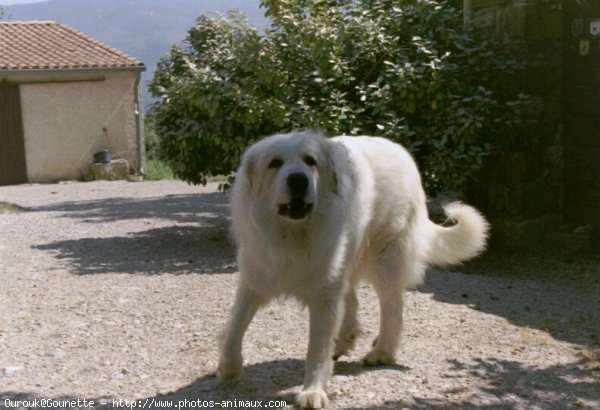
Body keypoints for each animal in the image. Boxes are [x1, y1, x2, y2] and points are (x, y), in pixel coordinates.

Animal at [218, 131, 490, 406]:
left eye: (310, 161)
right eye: (275, 163)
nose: (298, 180)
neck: (292, 234)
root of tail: (401, 151)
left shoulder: (324, 297)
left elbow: (317, 350)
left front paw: (313, 391)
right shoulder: (254, 280)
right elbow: (235, 326)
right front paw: (228, 366)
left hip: (383, 262)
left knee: (393, 308)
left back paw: (382, 351)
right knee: (353, 300)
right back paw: (346, 340)